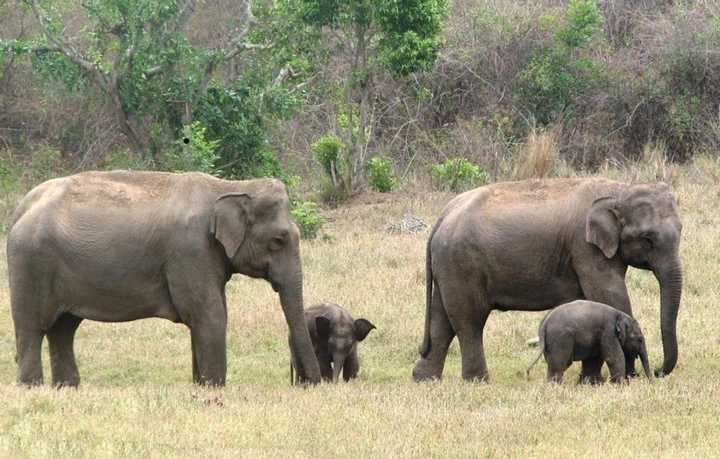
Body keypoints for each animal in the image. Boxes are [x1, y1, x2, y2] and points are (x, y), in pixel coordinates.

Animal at [7, 171, 322, 386]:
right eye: (278, 241)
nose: (310, 383)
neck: (230, 186)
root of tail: (20, 208)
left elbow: (206, 316)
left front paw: (201, 387)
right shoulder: (190, 251)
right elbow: (210, 315)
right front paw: (214, 389)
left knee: (63, 329)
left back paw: (67, 388)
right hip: (30, 264)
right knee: (32, 328)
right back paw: (32, 387)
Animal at [524, 302, 656, 384]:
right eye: (639, 339)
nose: (651, 382)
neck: (619, 314)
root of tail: (544, 323)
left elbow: (594, 359)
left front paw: (591, 384)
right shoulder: (608, 332)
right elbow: (613, 357)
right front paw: (621, 385)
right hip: (560, 339)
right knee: (560, 364)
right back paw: (555, 387)